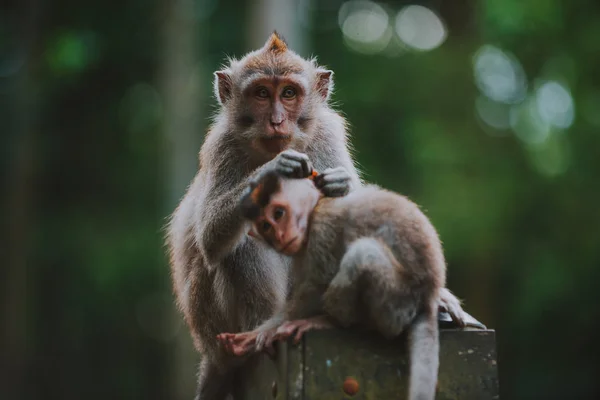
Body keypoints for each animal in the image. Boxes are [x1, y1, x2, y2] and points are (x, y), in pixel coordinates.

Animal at [219, 166, 446, 400]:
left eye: (279, 214)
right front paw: (254, 336)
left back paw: (331, 321)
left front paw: (268, 332)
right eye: (265, 226)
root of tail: (428, 298)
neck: (315, 208)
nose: (280, 236)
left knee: (362, 255)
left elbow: (316, 286)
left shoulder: (322, 229)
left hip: (397, 304)